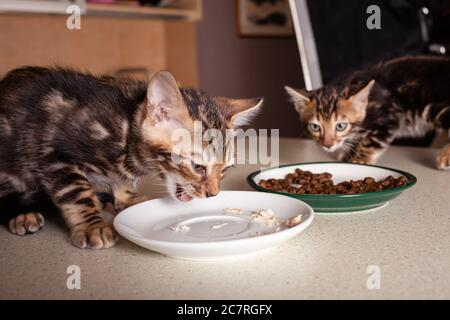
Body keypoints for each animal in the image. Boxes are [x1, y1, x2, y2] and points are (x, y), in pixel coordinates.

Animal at [0, 66, 262, 249]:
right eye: (198, 167)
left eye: (225, 169)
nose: (213, 194)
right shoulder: (54, 154)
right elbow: (76, 193)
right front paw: (92, 226)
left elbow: (121, 183)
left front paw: (127, 199)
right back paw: (21, 214)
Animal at [284, 56, 450, 169]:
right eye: (315, 127)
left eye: (341, 126)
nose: (328, 145)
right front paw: (347, 154)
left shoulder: (389, 116)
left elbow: (370, 141)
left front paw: (359, 160)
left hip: (432, 107)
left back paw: (445, 157)